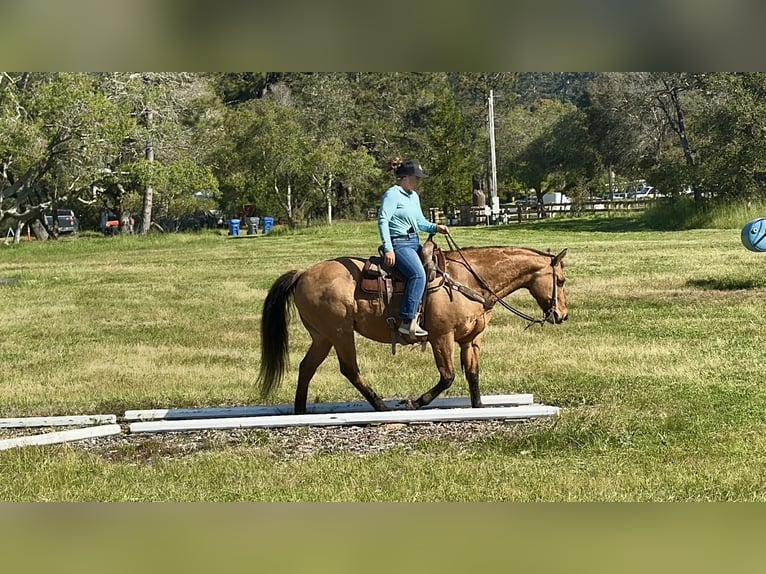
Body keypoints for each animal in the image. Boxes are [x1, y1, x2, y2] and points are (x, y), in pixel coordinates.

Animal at [257, 240, 568, 414]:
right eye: (561, 280)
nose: (562, 315)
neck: (467, 279)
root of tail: (302, 274)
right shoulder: (441, 337)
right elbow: (448, 376)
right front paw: (414, 403)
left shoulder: (470, 340)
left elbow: (472, 375)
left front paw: (478, 408)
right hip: (340, 333)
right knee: (349, 369)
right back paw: (380, 405)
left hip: (322, 337)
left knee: (306, 368)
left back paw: (300, 411)